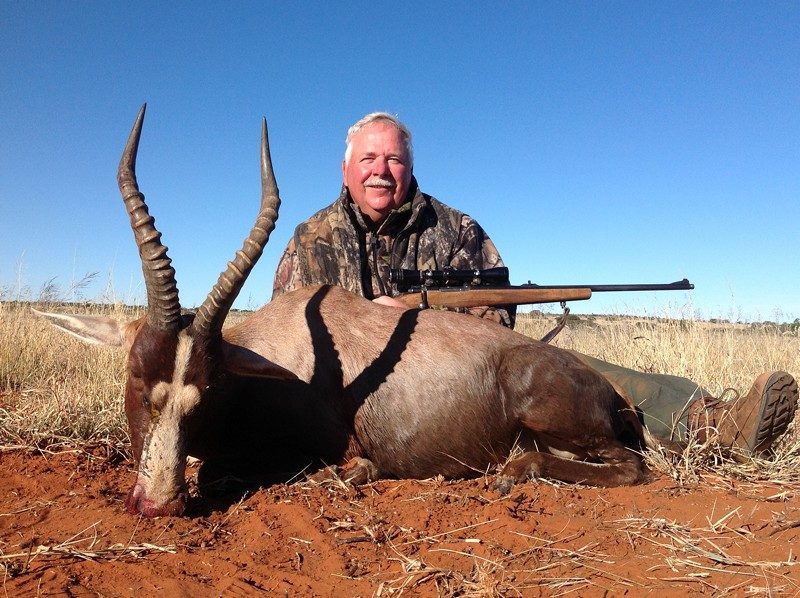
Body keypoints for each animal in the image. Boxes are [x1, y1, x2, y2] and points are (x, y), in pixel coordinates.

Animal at [35, 106, 652, 518]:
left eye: (204, 393)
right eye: (139, 382)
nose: (158, 505)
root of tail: (611, 394)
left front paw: (355, 473)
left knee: (632, 468)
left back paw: (515, 474)